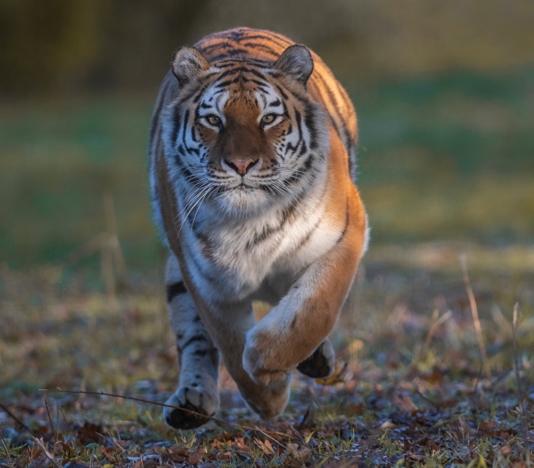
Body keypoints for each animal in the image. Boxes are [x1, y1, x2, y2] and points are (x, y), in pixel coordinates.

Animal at [149, 25, 370, 428]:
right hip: (177, 276)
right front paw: (268, 397)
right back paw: (191, 404)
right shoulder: (205, 278)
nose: (241, 164)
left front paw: (266, 360)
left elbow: (314, 306)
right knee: (194, 340)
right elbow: (229, 344)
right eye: (213, 120)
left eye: (268, 119)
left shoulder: (346, 232)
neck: (249, 220)